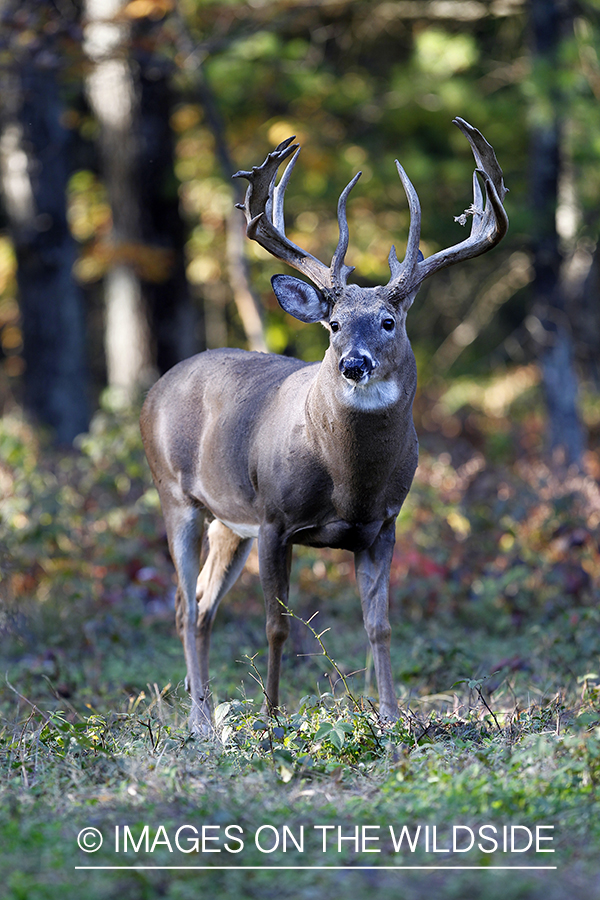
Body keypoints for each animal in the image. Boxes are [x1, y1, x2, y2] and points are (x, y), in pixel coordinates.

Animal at [139, 118, 506, 740]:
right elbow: (277, 625)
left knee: (205, 605)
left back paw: (206, 716)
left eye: (388, 320)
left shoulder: (381, 526)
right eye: (333, 324)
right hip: (176, 495)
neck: (349, 478)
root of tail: (154, 389)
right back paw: (201, 724)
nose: (353, 363)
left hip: (228, 523)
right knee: (185, 608)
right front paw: (271, 720)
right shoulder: (273, 518)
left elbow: (379, 626)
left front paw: (392, 720)